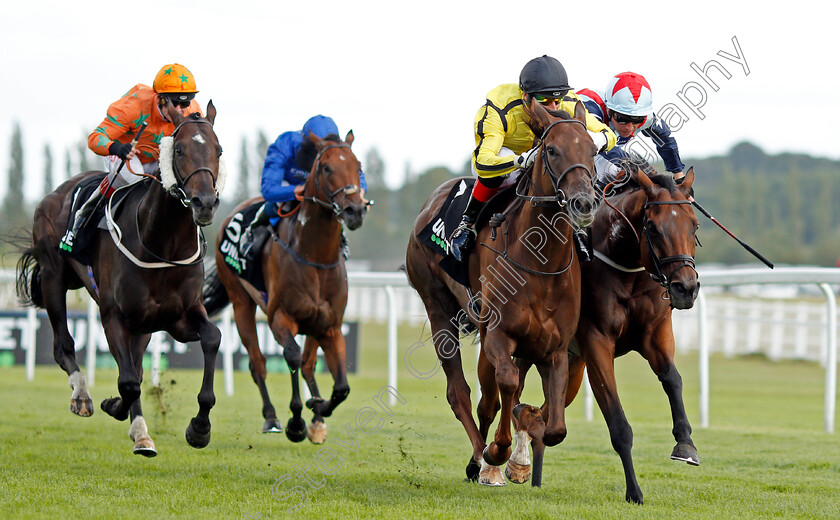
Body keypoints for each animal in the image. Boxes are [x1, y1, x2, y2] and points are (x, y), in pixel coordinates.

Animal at [204, 130, 368, 442]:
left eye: (358, 166)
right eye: (326, 167)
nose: (355, 210)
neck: (315, 258)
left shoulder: (330, 326)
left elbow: (340, 386)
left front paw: (318, 408)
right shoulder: (280, 317)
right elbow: (290, 356)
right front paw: (296, 421)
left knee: (308, 364)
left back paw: (317, 419)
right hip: (241, 301)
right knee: (258, 363)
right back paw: (272, 417)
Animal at [406, 100, 596, 488]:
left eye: (593, 150)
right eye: (552, 150)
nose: (584, 204)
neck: (540, 261)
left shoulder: (555, 348)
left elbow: (554, 425)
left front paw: (522, 453)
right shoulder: (498, 333)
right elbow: (507, 383)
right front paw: (497, 452)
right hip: (438, 307)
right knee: (461, 393)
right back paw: (482, 459)